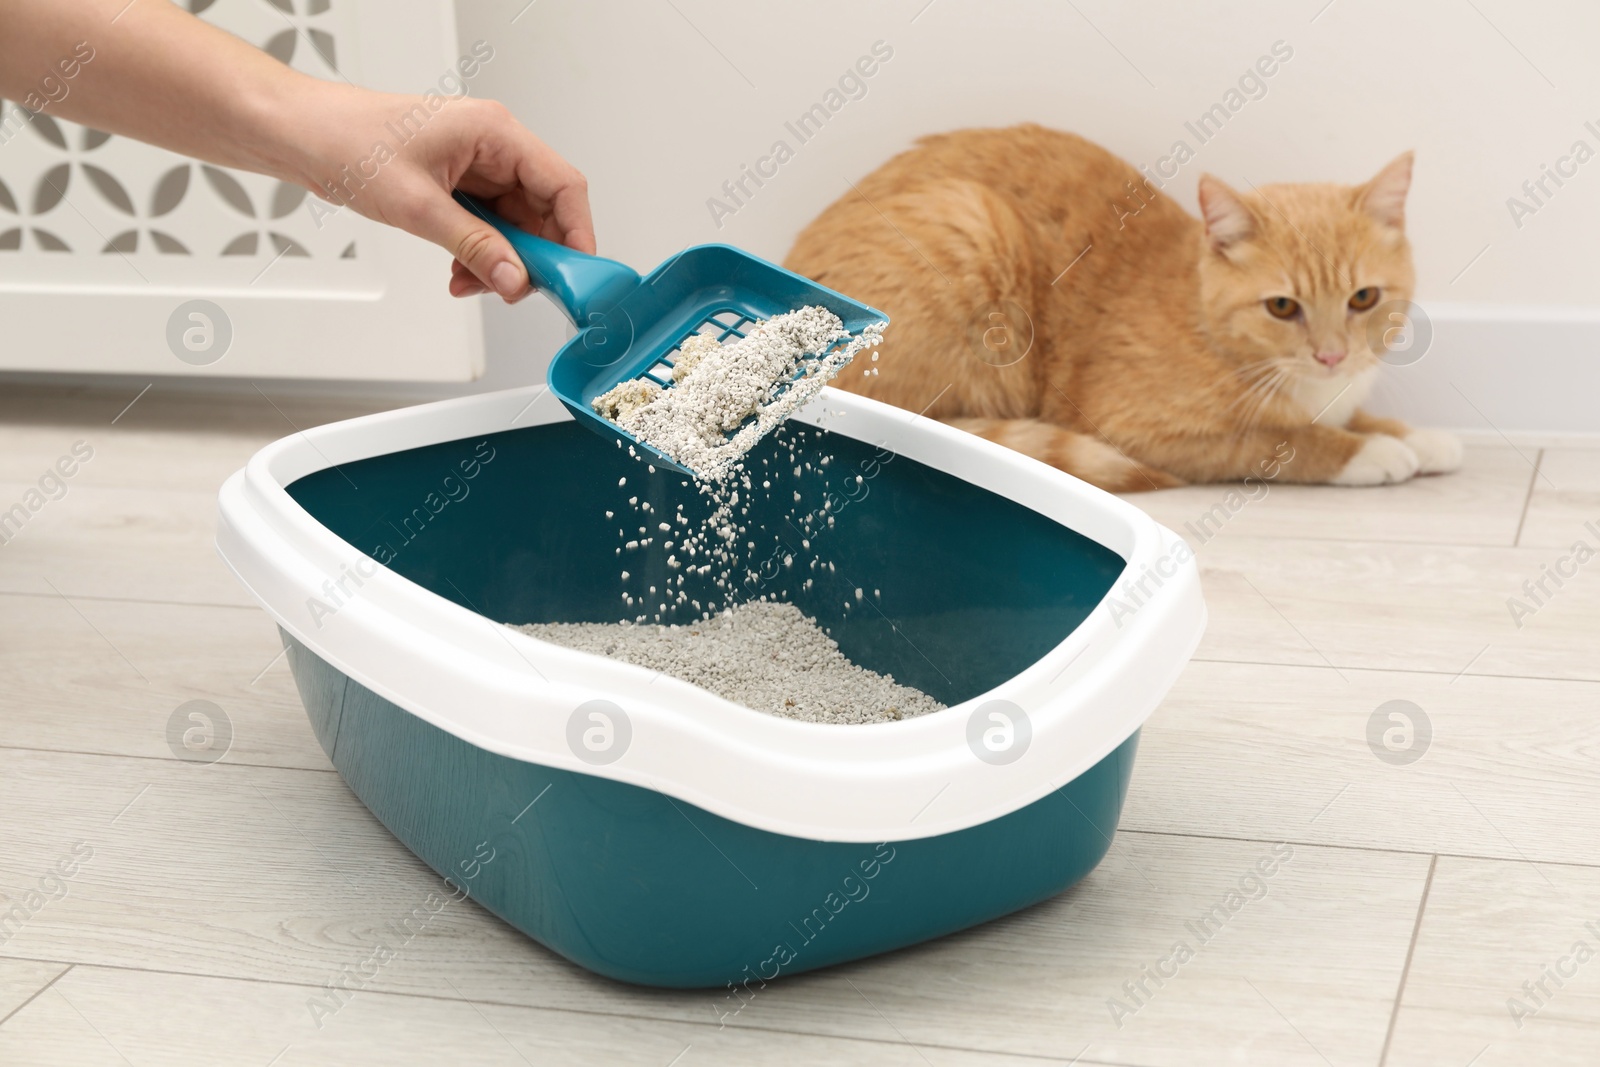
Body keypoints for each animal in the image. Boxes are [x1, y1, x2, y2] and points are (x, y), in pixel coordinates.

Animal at [784, 125, 1465, 492]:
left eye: (1363, 299)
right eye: (1281, 306)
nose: (1331, 356)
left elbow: (1360, 415)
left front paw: (1417, 437)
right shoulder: (1145, 429)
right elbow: (1284, 439)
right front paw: (1367, 452)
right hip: (969, 225)